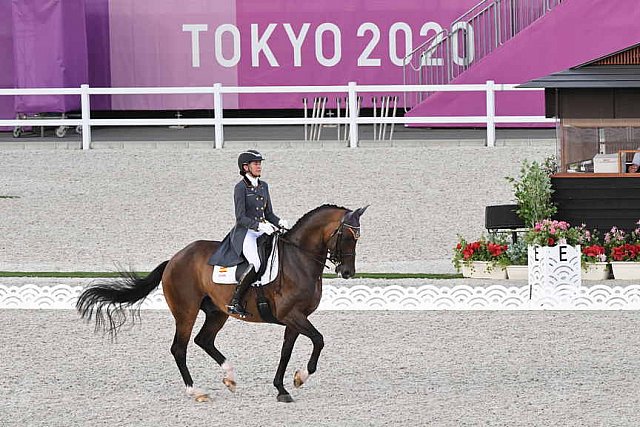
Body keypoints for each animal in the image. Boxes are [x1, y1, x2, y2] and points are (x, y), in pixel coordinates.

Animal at [76, 206, 364, 402]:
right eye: (347, 236)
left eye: (358, 238)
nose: (347, 272)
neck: (299, 259)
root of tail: (174, 258)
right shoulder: (292, 315)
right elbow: (319, 340)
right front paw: (301, 377)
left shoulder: (295, 318)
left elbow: (286, 352)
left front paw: (284, 387)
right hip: (186, 311)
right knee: (179, 348)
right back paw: (196, 391)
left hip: (217, 312)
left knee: (203, 340)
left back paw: (230, 378)